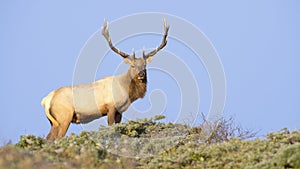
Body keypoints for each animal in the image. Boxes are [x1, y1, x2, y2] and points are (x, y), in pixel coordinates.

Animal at [41, 19, 170, 141]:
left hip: (54, 122)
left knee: (48, 139)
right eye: (133, 65)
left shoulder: (120, 111)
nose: (141, 74)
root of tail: (46, 100)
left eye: (144, 65)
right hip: (64, 117)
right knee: (57, 138)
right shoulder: (111, 107)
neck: (127, 91)